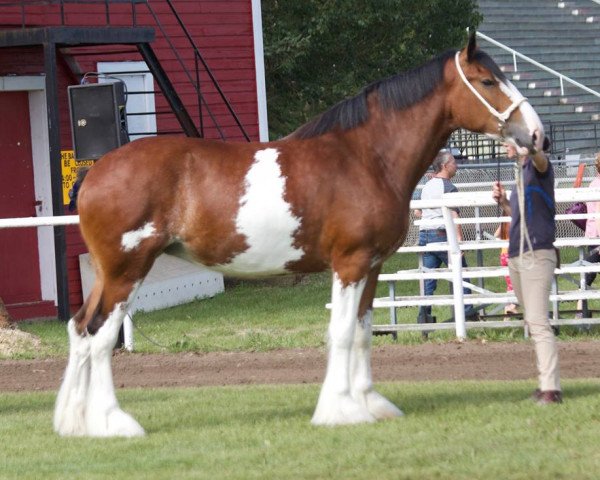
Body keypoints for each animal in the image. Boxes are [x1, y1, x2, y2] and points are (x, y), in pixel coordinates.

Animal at [55, 34, 544, 438]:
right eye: (487, 80)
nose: (537, 134)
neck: (366, 157)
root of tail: (96, 172)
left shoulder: (372, 266)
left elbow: (364, 332)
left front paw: (370, 404)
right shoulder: (349, 263)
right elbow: (342, 333)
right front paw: (340, 410)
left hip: (108, 274)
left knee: (79, 328)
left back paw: (73, 423)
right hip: (128, 271)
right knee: (100, 337)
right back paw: (114, 423)